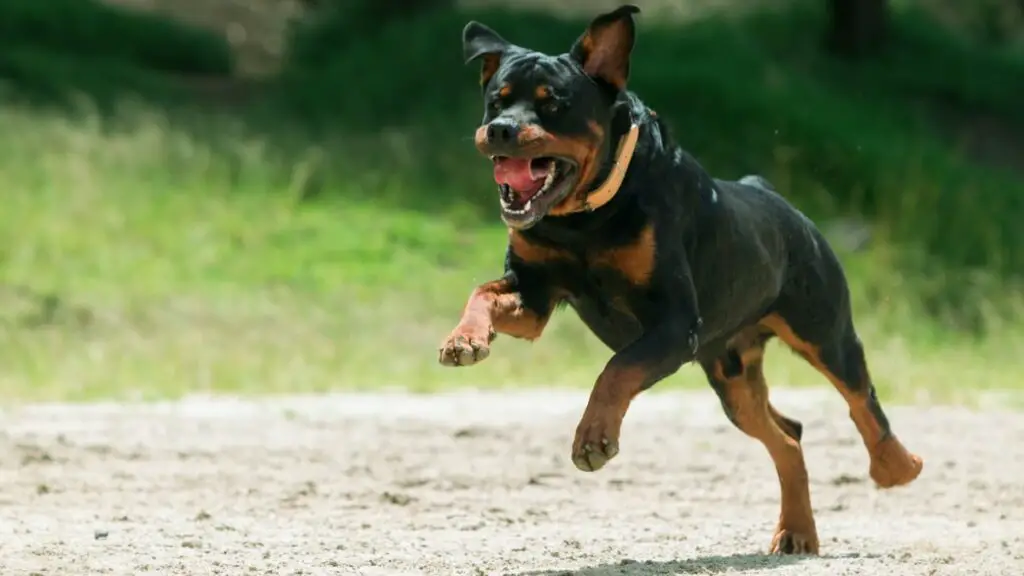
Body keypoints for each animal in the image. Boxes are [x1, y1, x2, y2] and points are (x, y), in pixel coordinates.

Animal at [436, 3, 925, 553]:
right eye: (494, 101)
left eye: (553, 103)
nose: (500, 129)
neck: (585, 219)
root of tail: (774, 196)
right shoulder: (534, 293)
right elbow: (482, 294)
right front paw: (465, 340)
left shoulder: (673, 322)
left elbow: (617, 370)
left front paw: (594, 437)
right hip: (733, 378)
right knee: (788, 435)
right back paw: (797, 530)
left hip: (823, 330)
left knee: (862, 400)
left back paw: (895, 466)